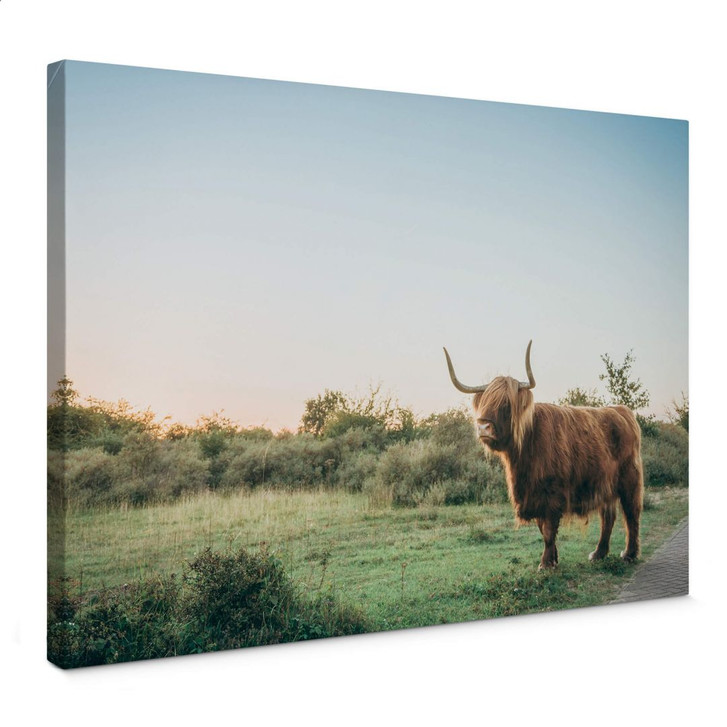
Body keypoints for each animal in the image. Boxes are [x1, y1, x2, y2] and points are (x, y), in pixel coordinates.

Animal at [443, 341, 643, 569]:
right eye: (484, 402)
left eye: (506, 404)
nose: (483, 427)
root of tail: (621, 411)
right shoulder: (534, 495)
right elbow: (543, 528)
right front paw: (553, 559)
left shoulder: (552, 493)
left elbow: (548, 530)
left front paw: (546, 564)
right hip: (605, 483)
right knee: (608, 516)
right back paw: (598, 553)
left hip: (629, 478)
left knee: (632, 513)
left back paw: (630, 554)